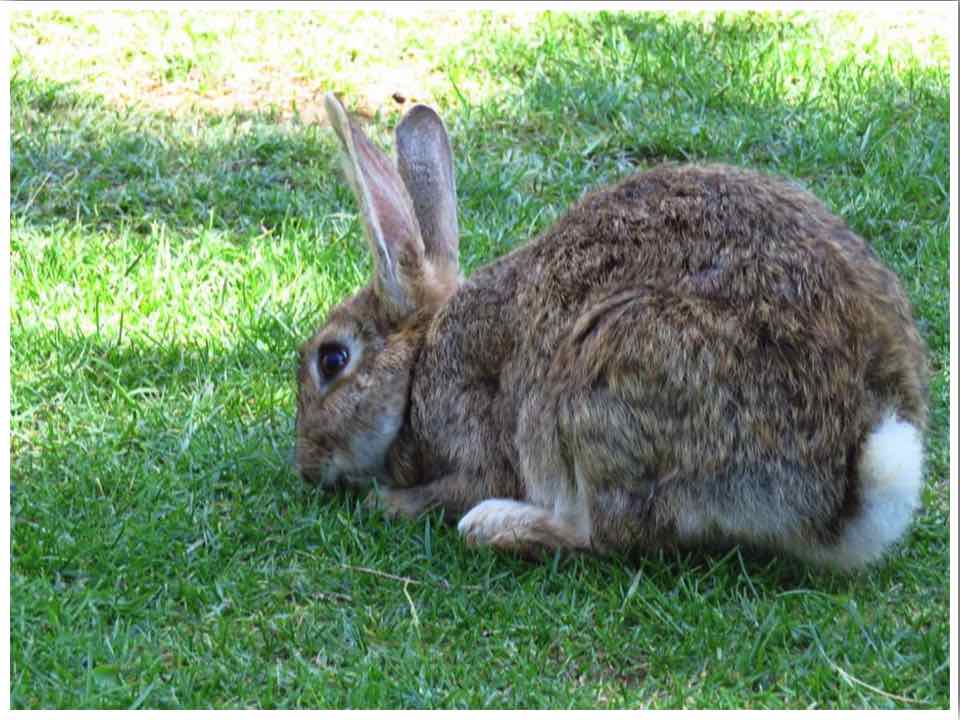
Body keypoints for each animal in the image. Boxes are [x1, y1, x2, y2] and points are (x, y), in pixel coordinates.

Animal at [295, 93, 928, 571]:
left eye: (332, 359)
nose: (305, 467)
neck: (421, 359)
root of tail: (843, 489)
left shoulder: (473, 429)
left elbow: (464, 481)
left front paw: (389, 503)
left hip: (607, 379)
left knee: (606, 534)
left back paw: (497, 525)